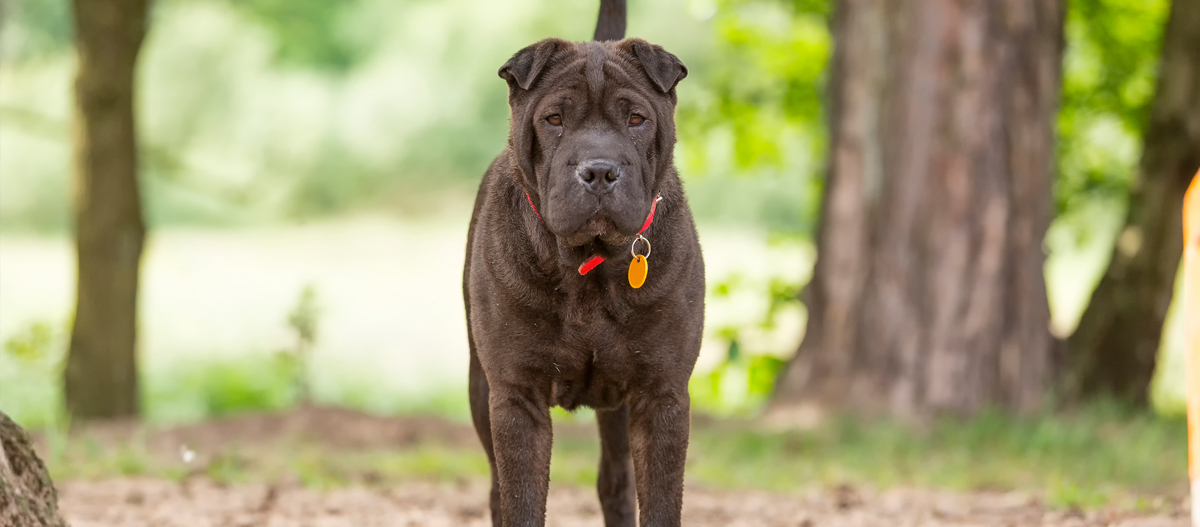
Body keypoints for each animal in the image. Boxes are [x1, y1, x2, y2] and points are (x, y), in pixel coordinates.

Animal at [458, 5, 700, 527]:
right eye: (554, 118)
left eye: (636, 118)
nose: (600, 170)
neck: (590, 264)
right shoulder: (516, 396)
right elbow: (521, 501)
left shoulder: (662, 396)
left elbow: (661, 501)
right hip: (480, 388)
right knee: (496, 488)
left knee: (615, 480)